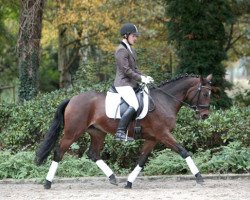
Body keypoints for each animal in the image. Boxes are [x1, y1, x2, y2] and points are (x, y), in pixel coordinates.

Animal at [35, 73, 213, 189]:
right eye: (205, 93)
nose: (205, 115)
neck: (165, 100)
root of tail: (72, 99)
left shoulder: (153, 138)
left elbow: (142, 159)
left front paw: (129, 182)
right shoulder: (163, 134)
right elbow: (184, 151)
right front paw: (199, 177)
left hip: (97, 132)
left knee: (93, 154)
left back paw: (113, 178)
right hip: (73, 132)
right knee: (59, 152)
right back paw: (47, 183)